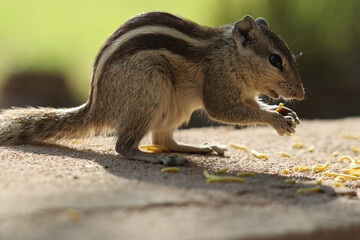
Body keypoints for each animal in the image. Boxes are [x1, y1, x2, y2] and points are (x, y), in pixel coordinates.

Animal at [0, 10, 304, 165]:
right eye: (275, 60)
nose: (300, 94)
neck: (231, 55)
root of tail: (97, 106)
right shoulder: (218, 83)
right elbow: (222, 111)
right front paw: (277, 120)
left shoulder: (245, 94)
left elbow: (252, 106)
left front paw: (285, 114)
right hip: (149, 90)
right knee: (124, 147)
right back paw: (152, 158)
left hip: (174, 107)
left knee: (163, 140)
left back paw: (199, 149)